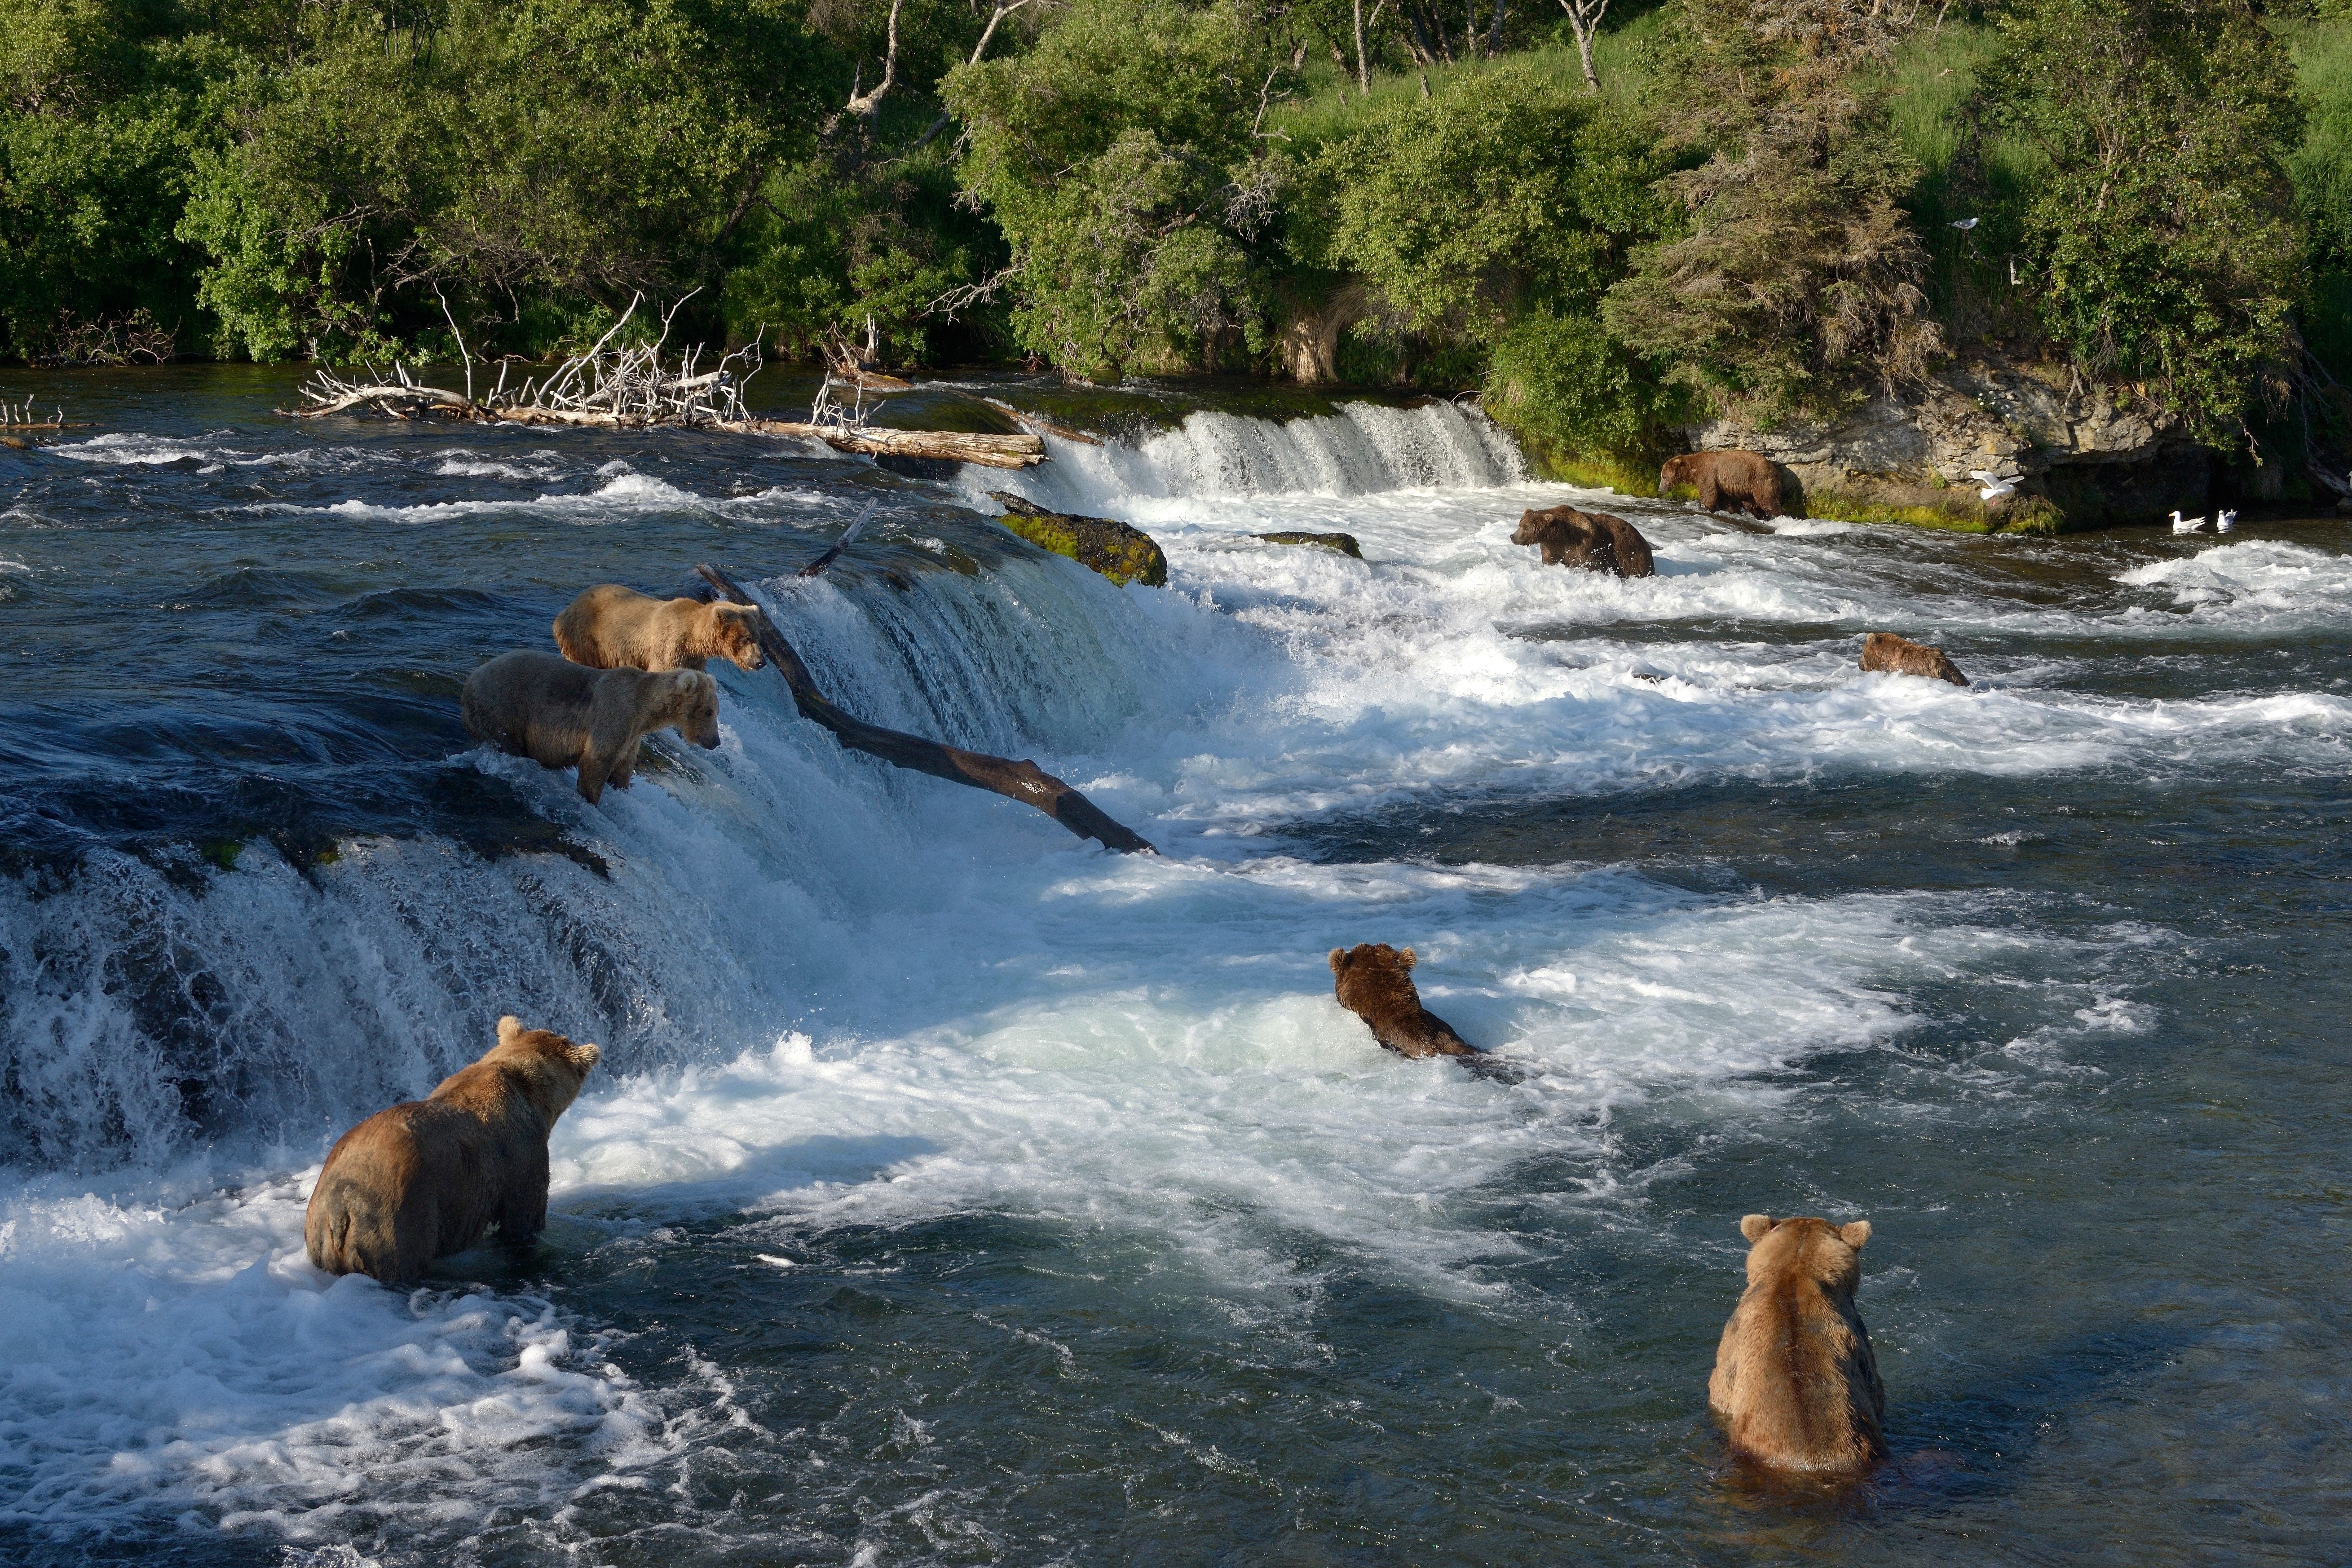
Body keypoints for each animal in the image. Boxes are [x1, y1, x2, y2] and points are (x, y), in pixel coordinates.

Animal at [461, 649, 721, 805]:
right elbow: (596, 762)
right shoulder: (614, 715)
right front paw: (591, 799)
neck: (643, 710)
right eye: (709, 711)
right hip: (502, 708)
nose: (716, 742)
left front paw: (621, 788)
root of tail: (470, 681)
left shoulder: (631, 736)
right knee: (507, 742)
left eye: (716, 711)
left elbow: (623, 769)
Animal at [552, 584, 767, 674]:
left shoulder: (693, 660)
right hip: (586, 637)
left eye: (758, 637)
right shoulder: (669, 648)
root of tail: (566, 609)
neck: (695, 640)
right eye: (745, 638)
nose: (760, 662)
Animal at [1511, 506, 1657, 578]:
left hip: (1630, 554)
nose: (1512, 536)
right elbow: (1550, 561)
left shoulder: (1583, 546)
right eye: (1520, 524)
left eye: (1526, 528)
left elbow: (1590, 565)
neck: (1559, 537)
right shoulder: (1550, 548)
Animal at [1659, 450, 1787, 520]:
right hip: (1749, 488)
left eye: (1664, 477)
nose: (1660, 490)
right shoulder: (1722, 484)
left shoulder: (1708, 474)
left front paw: (1705, 507)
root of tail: (1776, 470)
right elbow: (1725, 500)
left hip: (1761, 479)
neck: (1693, 470)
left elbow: (1709, 494)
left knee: (1768, 500)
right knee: (1751, 504)